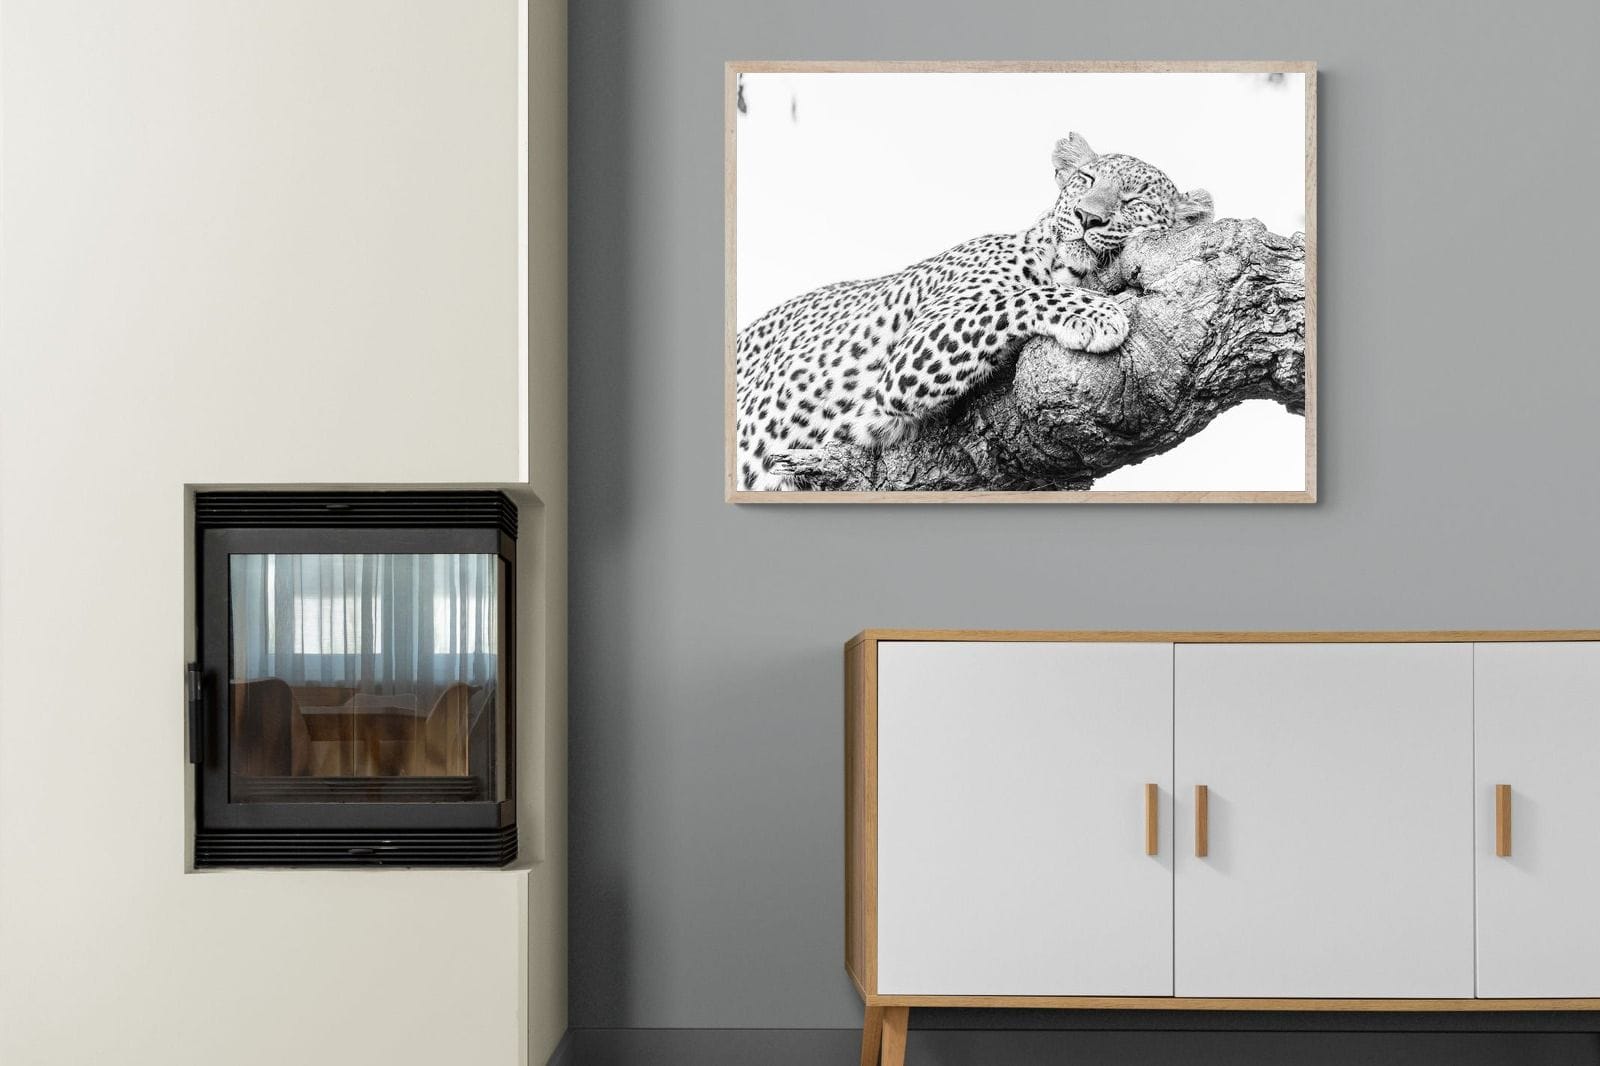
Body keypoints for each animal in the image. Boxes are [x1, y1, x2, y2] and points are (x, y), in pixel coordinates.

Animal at [733, 132, 1213, 490]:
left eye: (1134, 201)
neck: (1060, 263)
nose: (1086, 216)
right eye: (1086, 178)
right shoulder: (910, 355)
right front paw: (1097, 313)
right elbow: (1015, 299)